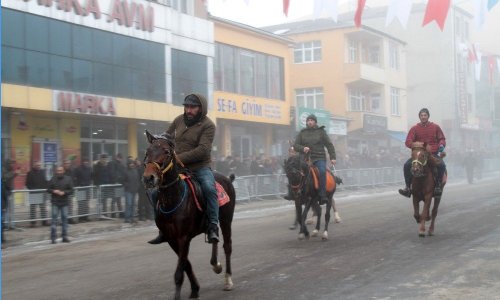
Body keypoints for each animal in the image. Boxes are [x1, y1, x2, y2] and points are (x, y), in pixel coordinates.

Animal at [141, 131, 234, 300]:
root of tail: (227, 179)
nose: (148, 178)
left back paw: (228, 279)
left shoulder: (183, 237)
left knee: (227, 246)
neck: (173, 199)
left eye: (167, 152)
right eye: (147, 151)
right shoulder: (171, 239)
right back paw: (215, 264)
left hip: (226, 219)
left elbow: (179, 272)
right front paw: (195, 289)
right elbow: (186, 264)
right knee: (215, 237)